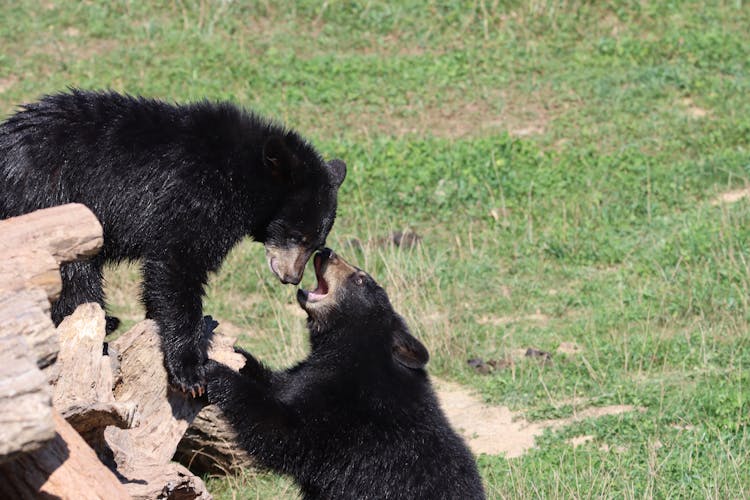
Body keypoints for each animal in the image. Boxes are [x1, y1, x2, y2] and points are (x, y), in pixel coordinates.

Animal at [0, 90, 346, 394]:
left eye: (316, 243)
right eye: (297, 236)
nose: (292, 277)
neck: (242, 174)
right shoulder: (196, 196)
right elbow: (178, 263)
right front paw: (189, 370)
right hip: (50, 205)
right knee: (75, 278)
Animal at [207, 248, 488, 498]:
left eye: (361, 278)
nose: (325, 251)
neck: (352, 350)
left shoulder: (345, 412)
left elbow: (283, 431)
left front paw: (216, 373)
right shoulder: (311, 374)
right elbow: (280, 383)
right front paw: (226, 349)